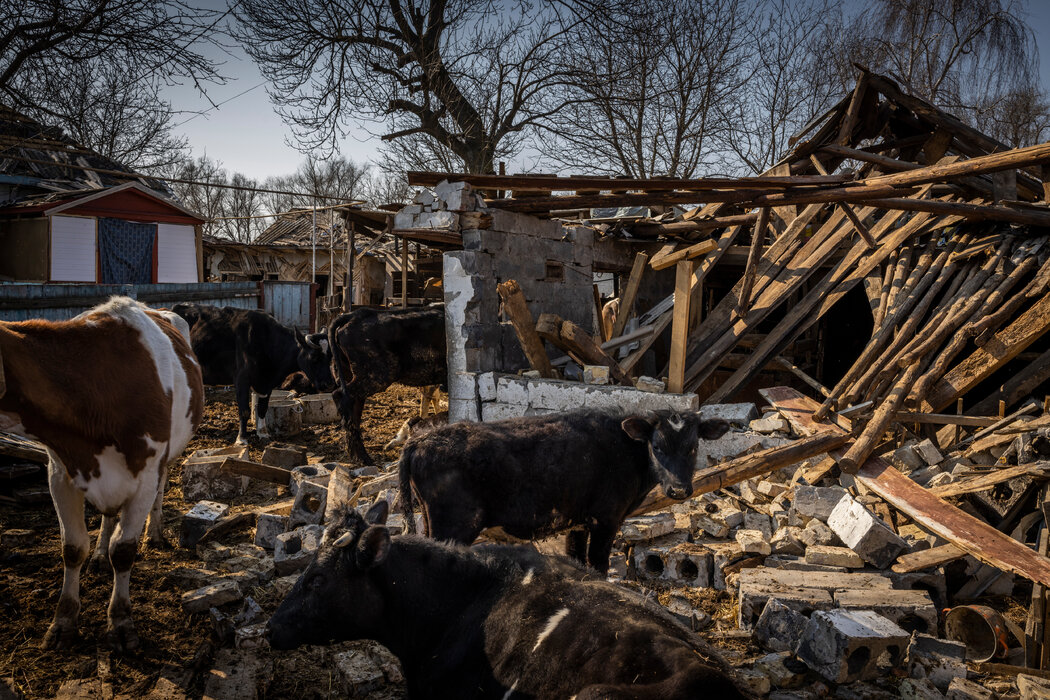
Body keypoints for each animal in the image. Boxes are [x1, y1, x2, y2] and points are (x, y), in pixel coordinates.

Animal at [0, 298, 202, 650]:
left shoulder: (145, 475)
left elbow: (123, 550)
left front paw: (120, 622)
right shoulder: (60, 474)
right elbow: (72, 548)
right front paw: (63, 622)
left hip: (166, 459)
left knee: (161, 491)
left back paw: (155, 533)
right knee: (108, 517)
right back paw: (99, 555)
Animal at [172, 304, 333, 442]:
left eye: (330, 357)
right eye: (314, 357)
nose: (329, 384)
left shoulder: (265, 383)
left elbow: (262, 409)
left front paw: (263, 434)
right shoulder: (241, 379)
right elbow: (244, 410)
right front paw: (242, 439)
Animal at [327, 306, 443, 465]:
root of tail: (356, 314)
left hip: (352, 375)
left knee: (353, 408)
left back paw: (358, 456)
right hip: (377, 376)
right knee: (340, 395)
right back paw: (364, 458)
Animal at [401, 411, 730, 575]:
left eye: (693, 447)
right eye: (658, 446)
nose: (679, 489)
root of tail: (422, 440)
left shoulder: (578, 521)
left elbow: (576, 558)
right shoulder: (606, 520)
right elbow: (597, 564)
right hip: (454, 526)